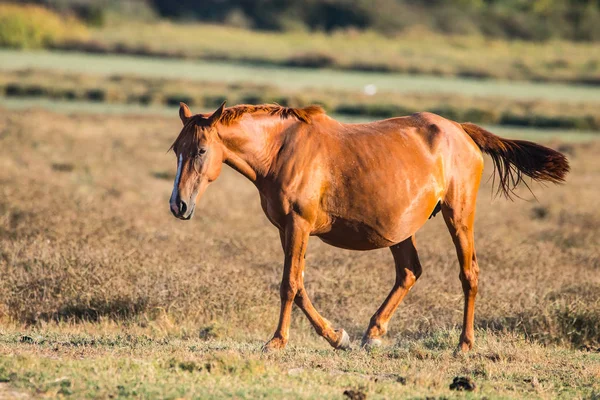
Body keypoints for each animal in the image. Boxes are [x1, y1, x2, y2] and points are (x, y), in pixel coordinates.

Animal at [168, 101, 568, 352]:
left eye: (200, 150)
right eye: (176, 149)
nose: (179, 205)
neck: (281, 150)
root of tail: (461, 130)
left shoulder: (297, 226)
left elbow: (289, 285)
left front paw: (277, 341)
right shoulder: (287, 229)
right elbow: (299, 287)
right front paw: (337, 336)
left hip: (458, 216)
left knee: (468, 274)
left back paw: (464, 344)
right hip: (402, 231)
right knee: (409, 271)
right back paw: (373, 333)